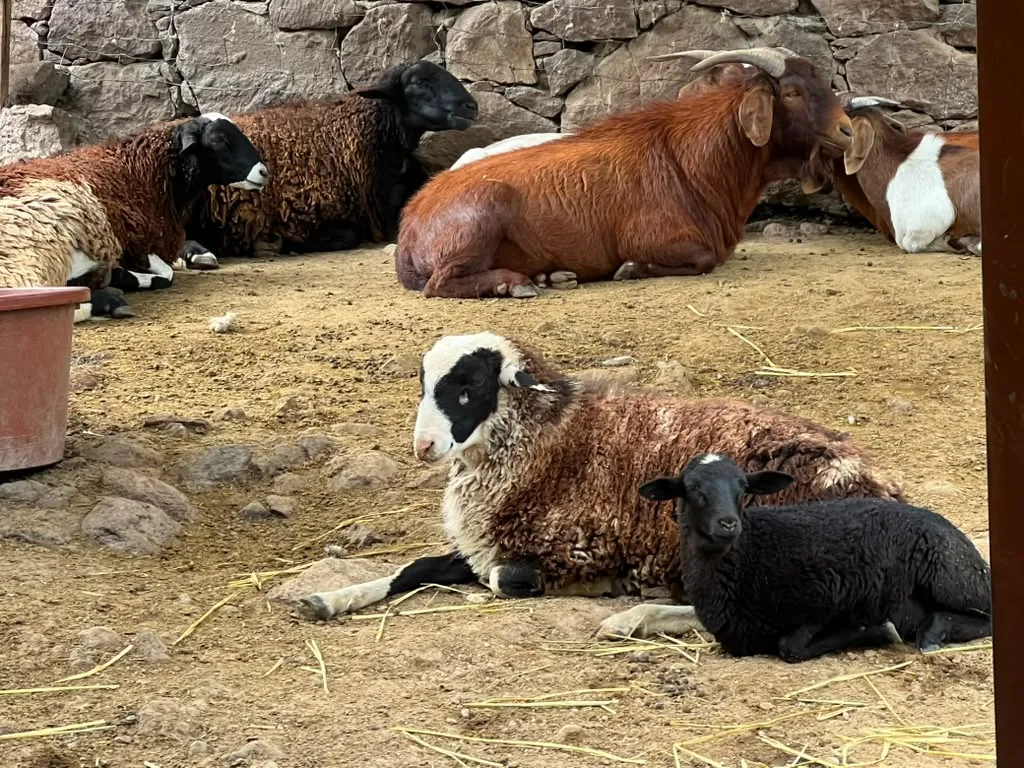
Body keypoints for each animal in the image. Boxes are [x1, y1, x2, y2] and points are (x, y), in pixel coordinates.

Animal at [0, 112, 268, 321]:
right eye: (220, 140)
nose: (264, 172)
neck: (140, 170)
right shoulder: (136, 238)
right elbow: (166, 275)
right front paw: (123, 277)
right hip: (34, 249)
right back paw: (109, 300)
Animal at [297, 331, 906, 622]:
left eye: (469, 386)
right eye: (424, 385)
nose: (424, 447)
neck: (548, 439)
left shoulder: (563, 548)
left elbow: (501, 579)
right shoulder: (489, 542)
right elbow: (415, 568)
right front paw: (329, 599)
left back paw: (634, 614)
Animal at [394, 47, 853, 299]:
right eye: (792, 92)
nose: (846, 130)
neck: (687, 160)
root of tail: (411, 223)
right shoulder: (655, 239)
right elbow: (702, 259)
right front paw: (632, 269)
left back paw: (550, 275)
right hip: (481, 218)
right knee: (441, 283)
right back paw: (517, 283)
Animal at [610, 453, 990, 661]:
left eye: (742, 488)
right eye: (692, 489)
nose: (728, 523)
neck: (751, 555)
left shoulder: (835, 602)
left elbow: (789, 645)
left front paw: (881, 630)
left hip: (951, 576)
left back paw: (932, 634)